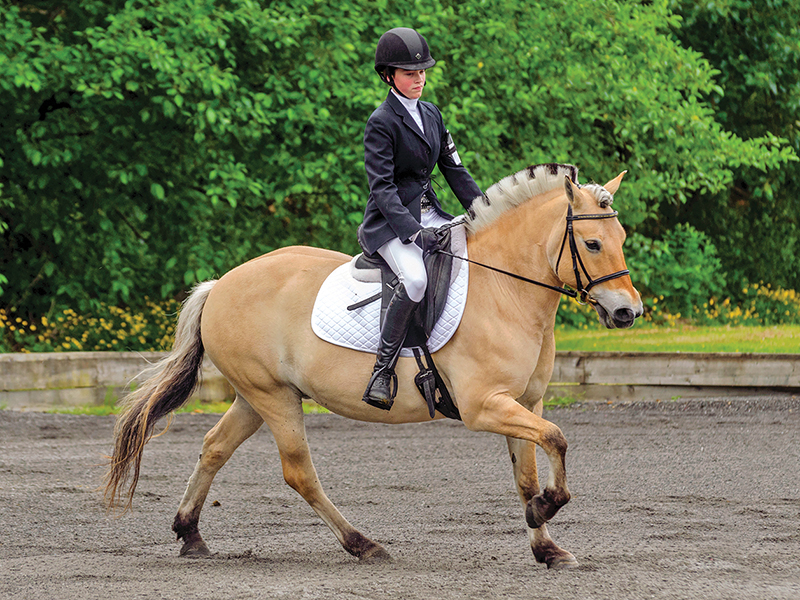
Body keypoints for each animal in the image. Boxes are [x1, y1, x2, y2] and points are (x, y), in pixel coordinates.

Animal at [105, 163, 642, 570]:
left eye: (620, 236)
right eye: (592, 244)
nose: (627, 313)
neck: (505, 289)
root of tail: (221, 283)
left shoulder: (525, 401)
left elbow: (528, 473)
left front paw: (547, 545)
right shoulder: (485, 406)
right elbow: (558, 439)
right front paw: (543, 511)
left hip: (257, 396)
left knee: (215, 448)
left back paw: (191, 535)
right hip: (272, 397)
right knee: (299, 472)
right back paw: (363, 544)